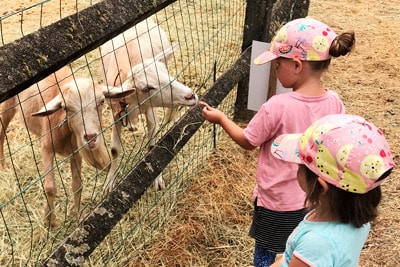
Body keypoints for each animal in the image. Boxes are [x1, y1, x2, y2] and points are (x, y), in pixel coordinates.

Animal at [0, 66, 134, 226]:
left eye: (102, 101)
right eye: (66, 108)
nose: (90, 137)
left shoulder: (75, 151)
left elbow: (77, 184)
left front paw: (79, 216)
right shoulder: (46, 148)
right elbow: (50, 188)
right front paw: (49, 221)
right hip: (7, 106)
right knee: (2, 130)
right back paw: (3, 164)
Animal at [100, 19, 198, 195]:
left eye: (165, 73)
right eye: (146, 88)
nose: (190, 95)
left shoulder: (150, 110)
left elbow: (152, 146)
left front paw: (157, 180)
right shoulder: (115, 113)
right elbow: (115, 150)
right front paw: (109, 183)